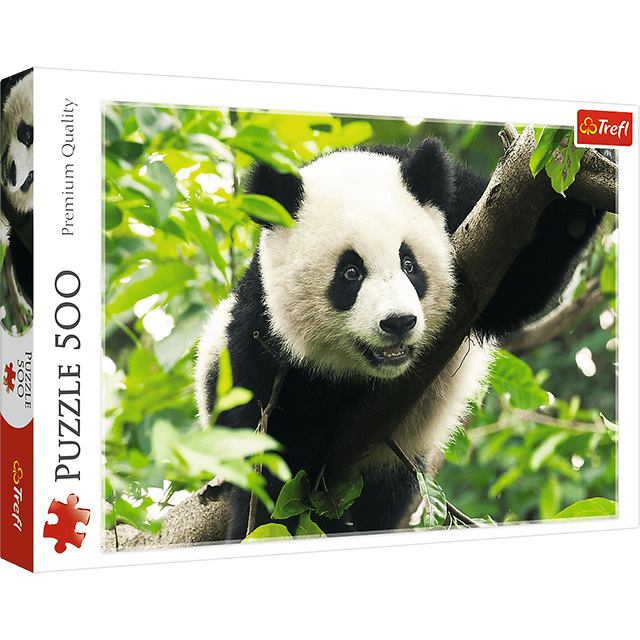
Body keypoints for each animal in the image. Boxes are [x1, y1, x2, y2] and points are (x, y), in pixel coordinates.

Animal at [194, 137, 605, 540]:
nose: (398, 322)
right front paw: (262, 523)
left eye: (409, 264)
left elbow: (520, 284)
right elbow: (271, 453)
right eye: (350, 272)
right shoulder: (262, 337)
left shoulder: (467, 212)